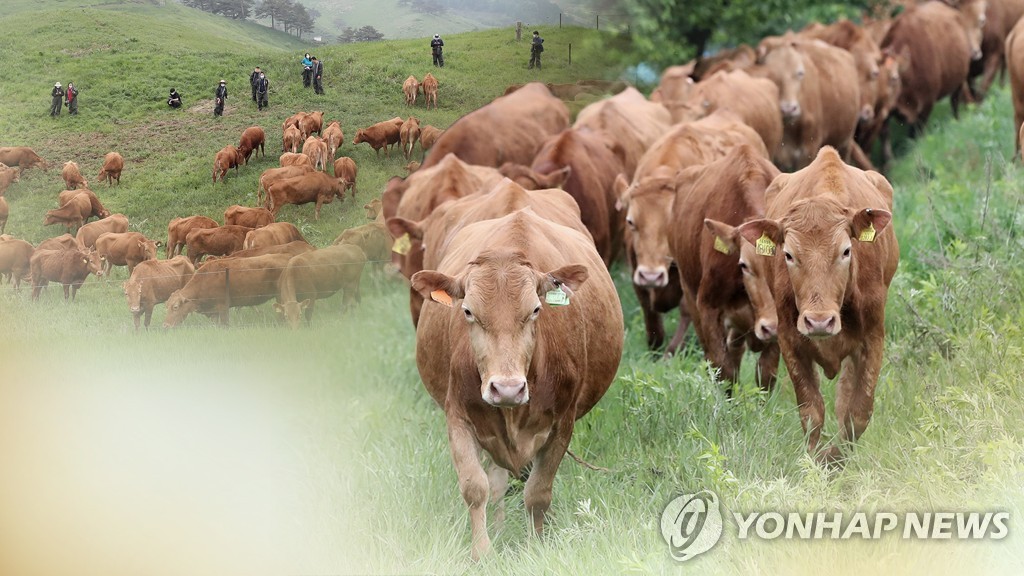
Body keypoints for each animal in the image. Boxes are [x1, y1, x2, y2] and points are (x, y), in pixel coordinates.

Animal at [409, 207, 622, 557]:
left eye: (536, 309)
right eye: (467, 311)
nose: (507, 388)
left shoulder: (562, 425)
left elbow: (538, 492)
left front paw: (536, 546)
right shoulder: (458, 418)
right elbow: (475, 487)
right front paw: (482, 551)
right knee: (495, 483)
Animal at [667, 145, 778, 391]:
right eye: (744, 265)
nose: (772, 327)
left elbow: (766, 374)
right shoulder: (708, 307)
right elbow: (724, 371)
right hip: (690, 295)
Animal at [737, 146, 897, 461]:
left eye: (846, 250)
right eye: (788, 254)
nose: (820, 321)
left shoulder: (873, 338)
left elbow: (857, 412)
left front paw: (837, 457)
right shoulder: (789, 341)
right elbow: (811, 413)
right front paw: (818, 460)